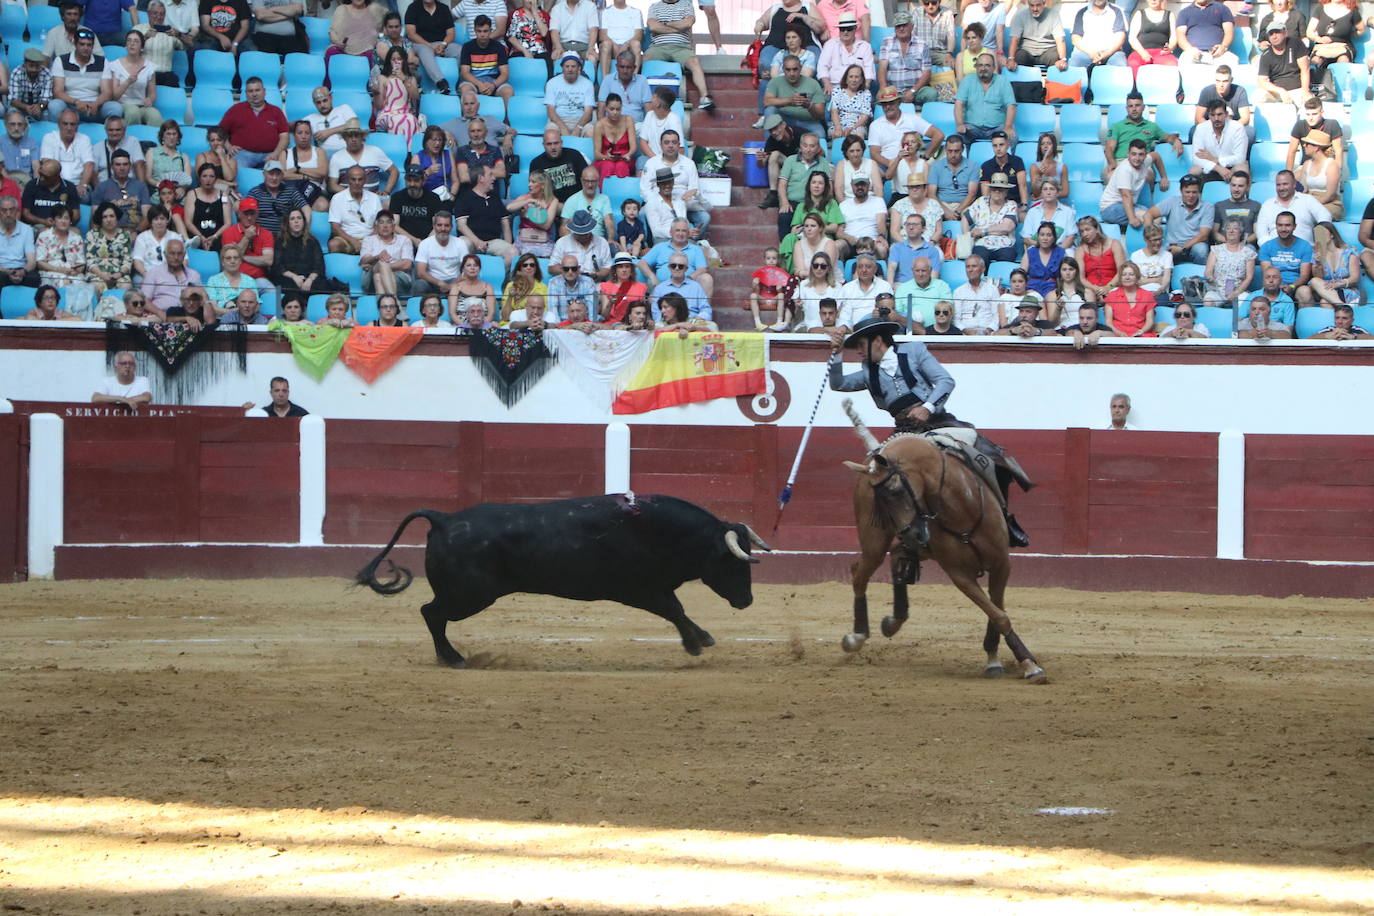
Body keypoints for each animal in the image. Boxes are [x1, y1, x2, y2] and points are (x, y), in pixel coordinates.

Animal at [354, 494, 769, 667]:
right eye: (732, 563)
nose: (746, 601)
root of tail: (444, 518)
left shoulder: (650, 589)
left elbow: (677, 610)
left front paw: (702, 638)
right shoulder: (640, 589)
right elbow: (675, 609)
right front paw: (696, 644)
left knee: (432, 614)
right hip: (469, 595)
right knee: (432, 612)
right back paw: (453, 659)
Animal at [835, 398, 1038, 683]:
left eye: (896, 490)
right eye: (880, 500)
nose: (912, 534)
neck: (961, 506)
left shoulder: (1001, 563)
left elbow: (997, 609)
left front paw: (1000, 658)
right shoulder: (959, 573)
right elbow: (998, 615)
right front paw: (1028, 664)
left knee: (895, 558)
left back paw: (893, 621)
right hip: (874, 541)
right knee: (860, 573)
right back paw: (857, 636)